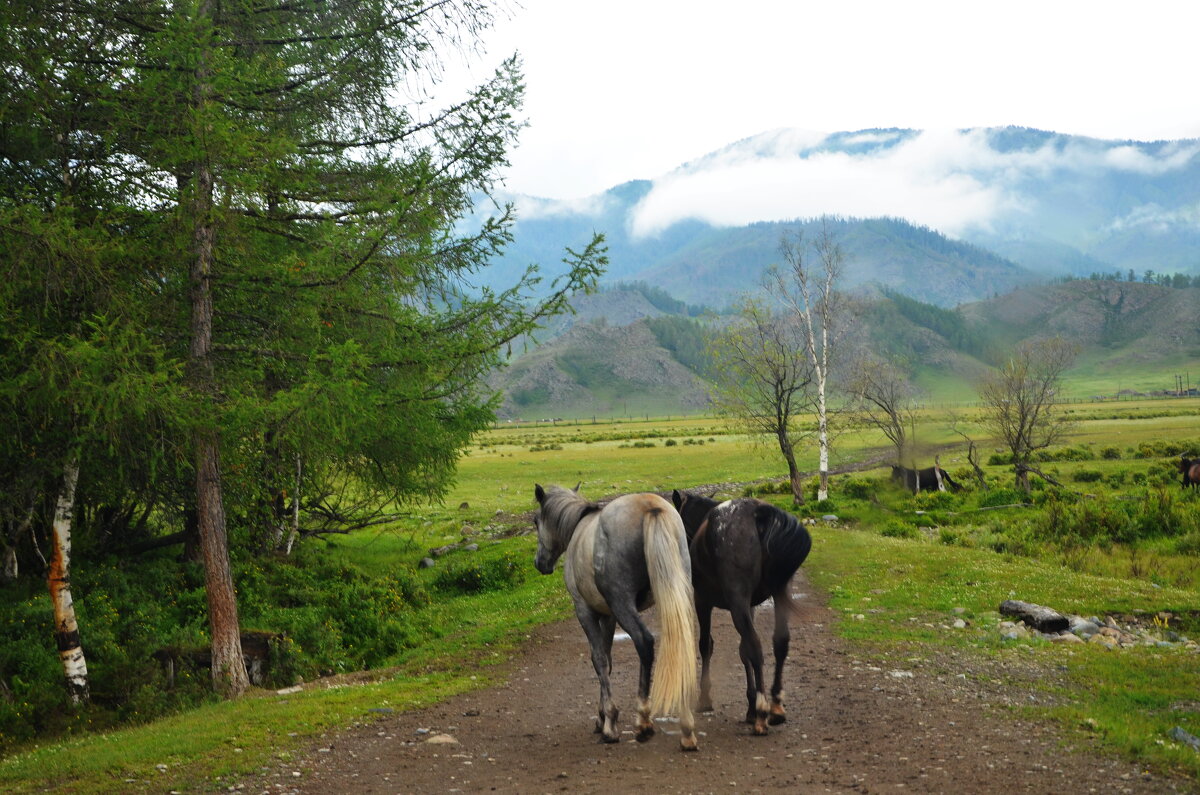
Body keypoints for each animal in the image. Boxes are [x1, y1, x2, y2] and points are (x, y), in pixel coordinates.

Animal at [530, 485, 700, 754]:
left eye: (536, 521)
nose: (540, 563)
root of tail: (650, 507)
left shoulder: (586, 611)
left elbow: (599, 660)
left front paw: (609, 722)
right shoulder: (608, 617)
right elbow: (607, 659)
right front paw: (601, 717)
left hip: (623, 604)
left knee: (644, 642)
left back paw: (643, 721)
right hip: (674, 595)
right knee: (681, 644)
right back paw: (686, 729)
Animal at [672, 492, 811, 739]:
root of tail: (757, 513)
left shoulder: (703, 600)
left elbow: (706, 645)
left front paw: (706, 698)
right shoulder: (750, 606)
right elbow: (743, 651)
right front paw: (750, 707)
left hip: (736, 599)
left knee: (756, 646)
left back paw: (763, 712)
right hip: (778, 592)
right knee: (780, 642)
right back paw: (775, 704)